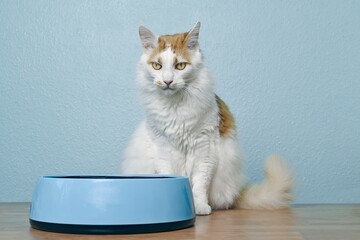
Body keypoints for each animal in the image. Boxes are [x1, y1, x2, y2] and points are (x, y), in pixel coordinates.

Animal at [121, 21, 292, 215]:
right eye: (157, 66)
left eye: (180, 66)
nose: (167, 81)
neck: (175, 106)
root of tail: (236, 193)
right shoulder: (163, 147)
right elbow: (170, 173)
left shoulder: (204, 148)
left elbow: (199, 184)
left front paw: (199, 207)